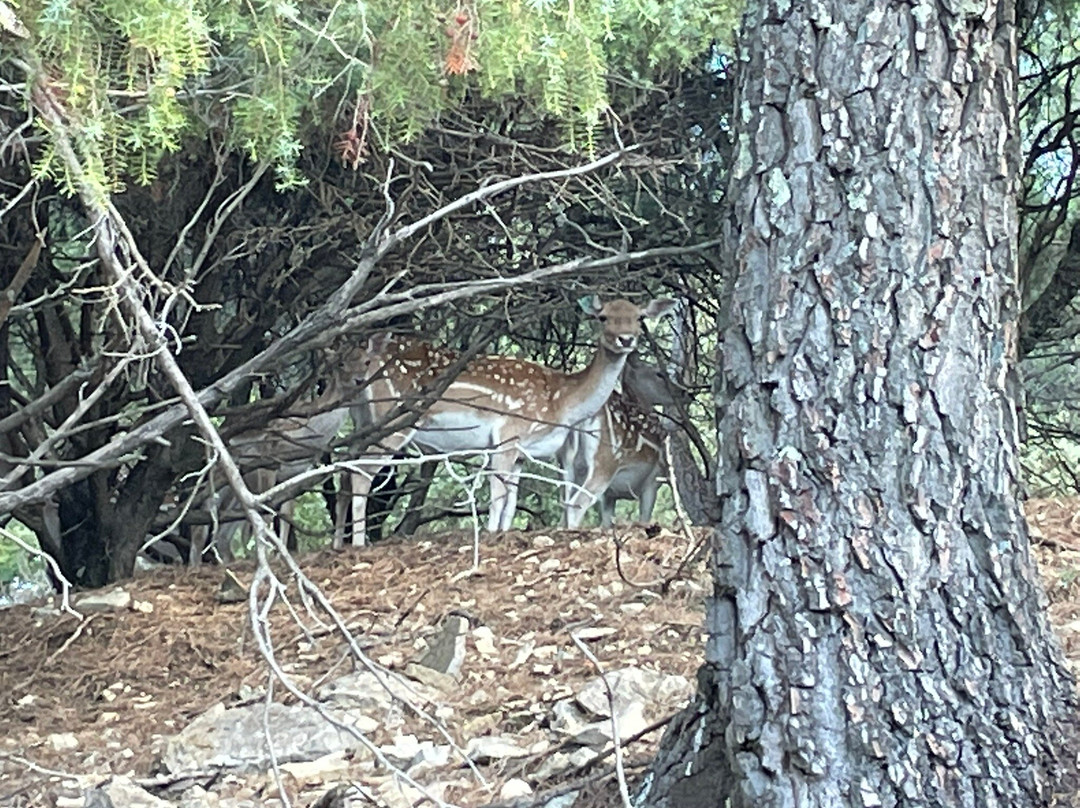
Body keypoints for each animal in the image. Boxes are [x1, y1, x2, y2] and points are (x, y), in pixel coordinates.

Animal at [339, 295, 673, 548]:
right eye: (603, 317)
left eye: (640, 317)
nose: (626, 339)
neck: (561, 401)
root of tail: (368, 360)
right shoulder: (508, 435)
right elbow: (498, 497)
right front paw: (488, 536)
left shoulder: (522, 453)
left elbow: (511, 502)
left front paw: (502, 534)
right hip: (396, 419)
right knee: (362, 469)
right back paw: (358, 543)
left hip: (364, 419)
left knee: (346, 463)